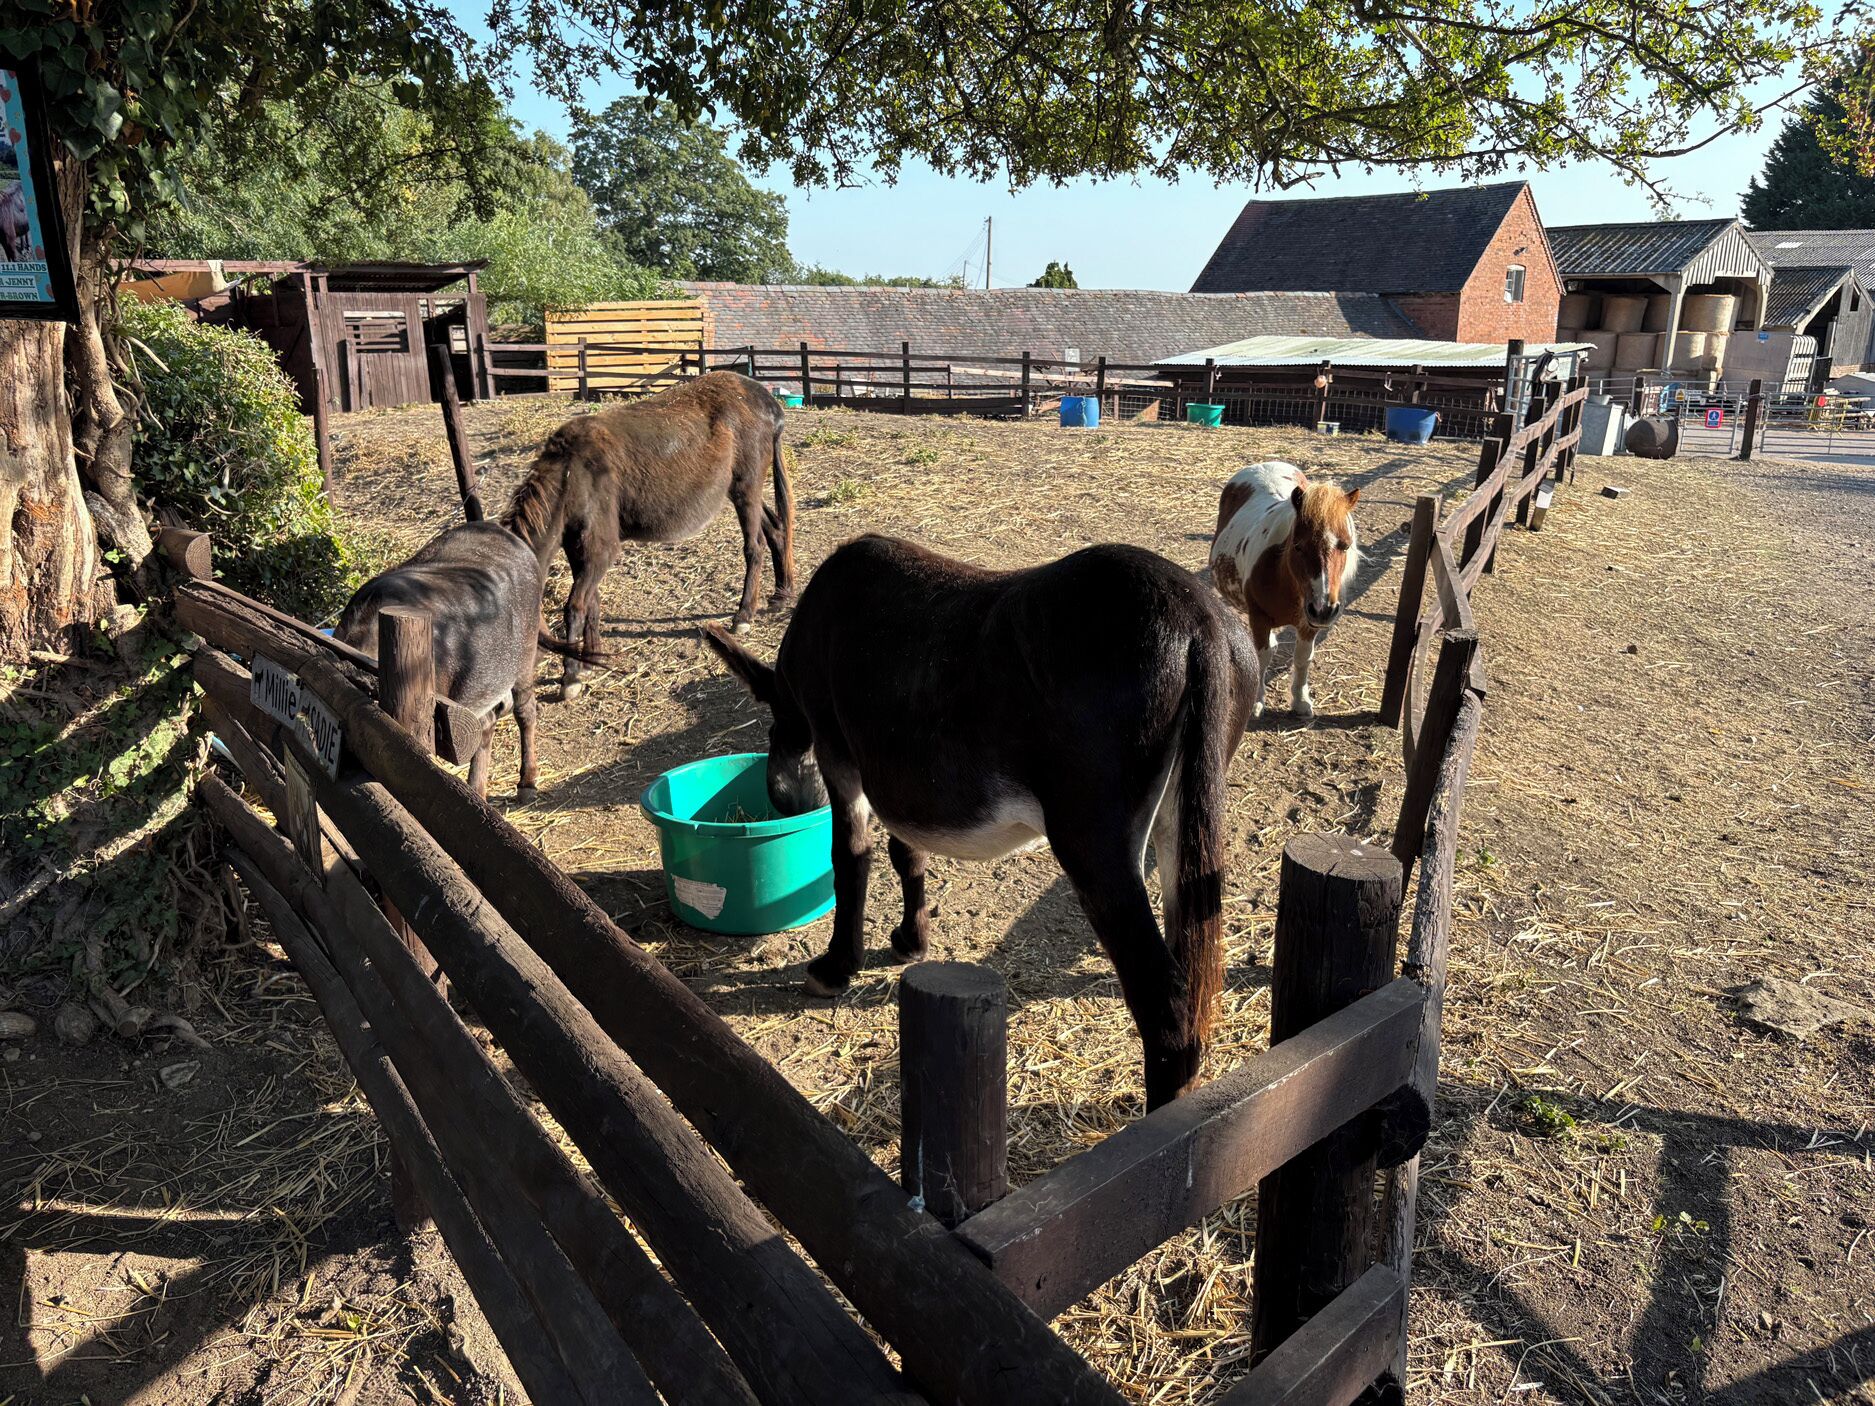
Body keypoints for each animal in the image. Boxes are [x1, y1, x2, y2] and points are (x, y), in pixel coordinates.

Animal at [503, 370, 796, 700]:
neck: (570, 474)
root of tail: (766, 401)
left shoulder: (599, 550)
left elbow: (576, 606)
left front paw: (572, 677)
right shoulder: (578, 549)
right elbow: (592, 601)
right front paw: (591, 658)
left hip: (746, 487)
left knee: (754, 546)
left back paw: (744, 616)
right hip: (743, 493)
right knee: (776, 530)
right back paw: (781, 595)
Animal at [702, 535, 1261, 1110]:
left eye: (775, 729)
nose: (778, 796)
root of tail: (1197, 623)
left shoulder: (839, 752)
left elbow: (851, 858)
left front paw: (836, 967)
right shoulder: (895, 782)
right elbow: (907, 853)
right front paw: (912, 940)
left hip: (1093, 841)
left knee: (1164, 998)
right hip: (1183, 821)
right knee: (1189, 973)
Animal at [1207, 461, 1361, 721]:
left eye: (1346, 545)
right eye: (1298, 545)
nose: (1323, 610)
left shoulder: (1308, 625)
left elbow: (1302, 658)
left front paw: (1300, 701)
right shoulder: (1259, 617)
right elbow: (1262, 656)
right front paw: (1256, 702)